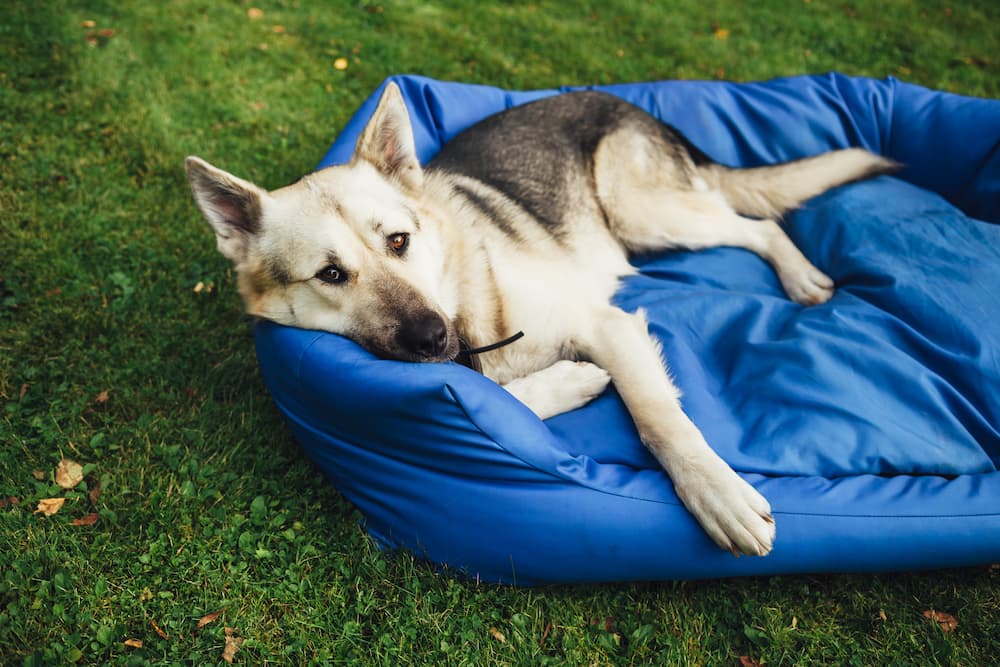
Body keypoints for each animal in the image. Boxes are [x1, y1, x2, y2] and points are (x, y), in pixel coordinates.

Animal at [188, 81, 900, 556]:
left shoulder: (609, 327)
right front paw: (568, 383)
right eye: (331, 275)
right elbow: (502, 395)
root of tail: (631, 104)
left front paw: (716, 494)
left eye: (398, 241)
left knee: (759, 226)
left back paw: (800, 276)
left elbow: (659, 421)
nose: (432, 337)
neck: (470, 309)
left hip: (647, 213)